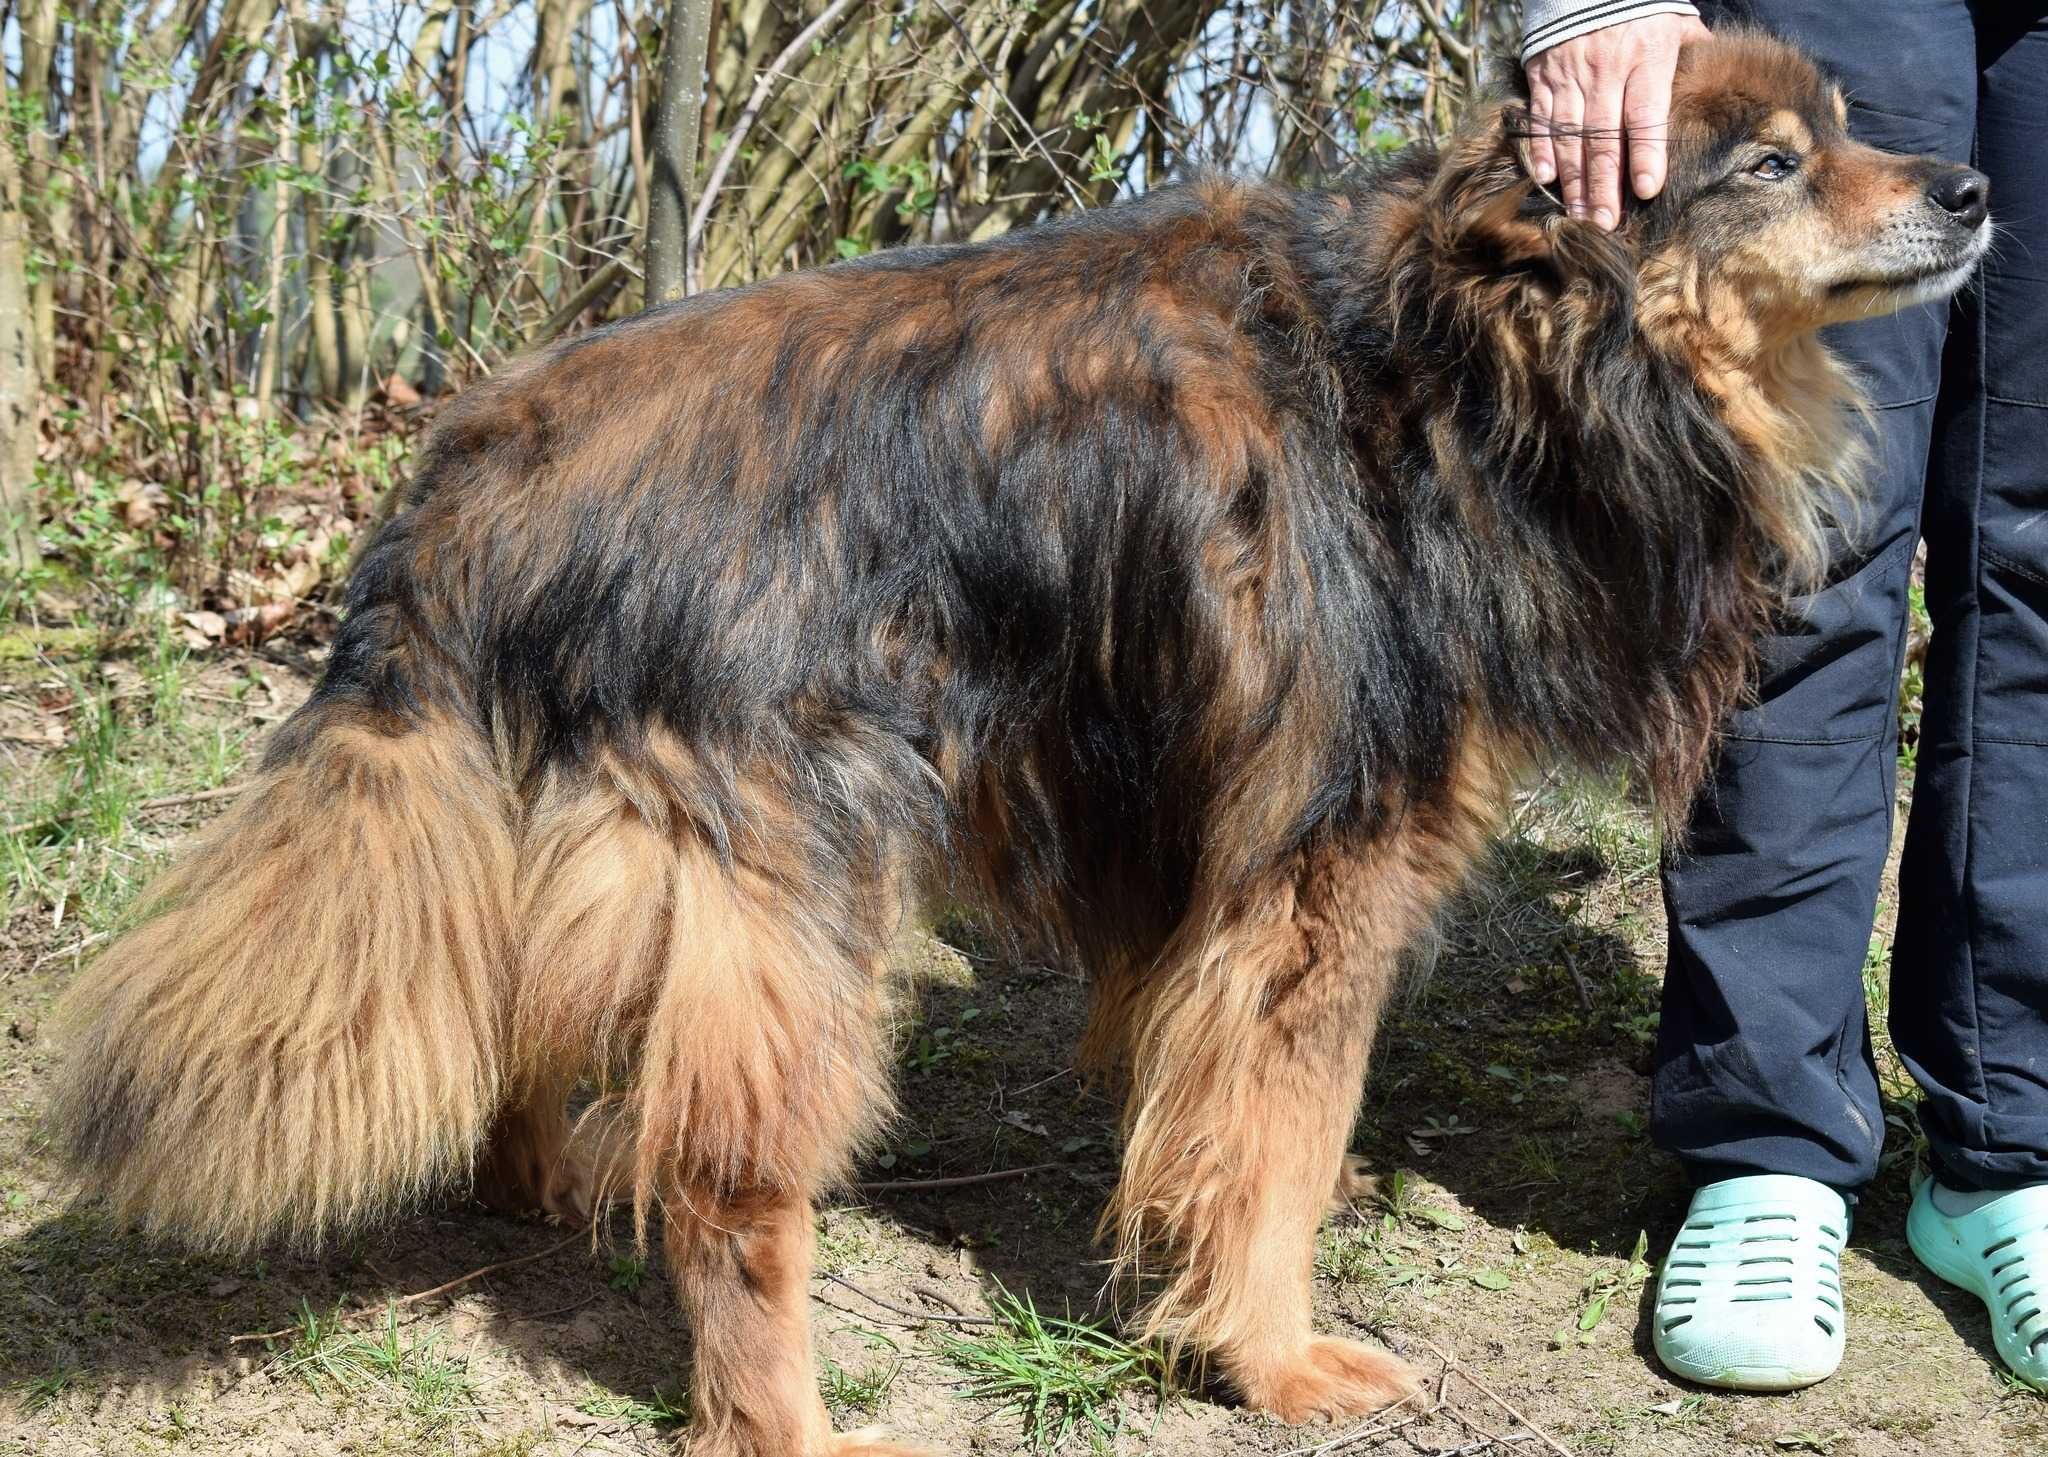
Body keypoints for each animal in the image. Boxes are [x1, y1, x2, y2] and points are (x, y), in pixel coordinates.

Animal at [56, 25, 1990, 1457]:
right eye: (1771, 165)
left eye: (1839, 130)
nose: (1974, 185)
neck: (1470, 356)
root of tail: (475, 470)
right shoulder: (1323, 877)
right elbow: (1277, 1141)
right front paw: (1275, 1359)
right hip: (797, 865)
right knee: (732, 1182)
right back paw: (785, 1414)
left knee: (540, 1029)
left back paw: (549, 1184)